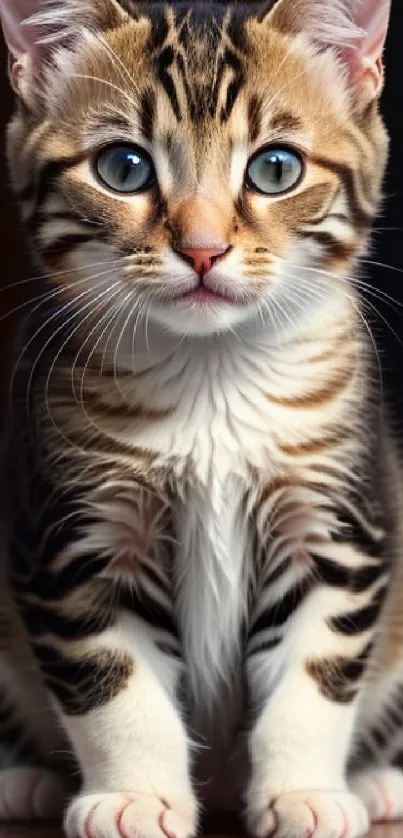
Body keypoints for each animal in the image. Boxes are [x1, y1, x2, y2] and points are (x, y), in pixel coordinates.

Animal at [0, 0, 400, 836]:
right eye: (123, 167)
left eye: (275, 169)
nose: (204, 248)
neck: (212, 374)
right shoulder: (70, 531)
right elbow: (111, 679)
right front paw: (135, 794)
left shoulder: (335, 517)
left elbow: (317, 670)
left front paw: (304, 792)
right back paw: (24, 780)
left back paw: (378, 781)